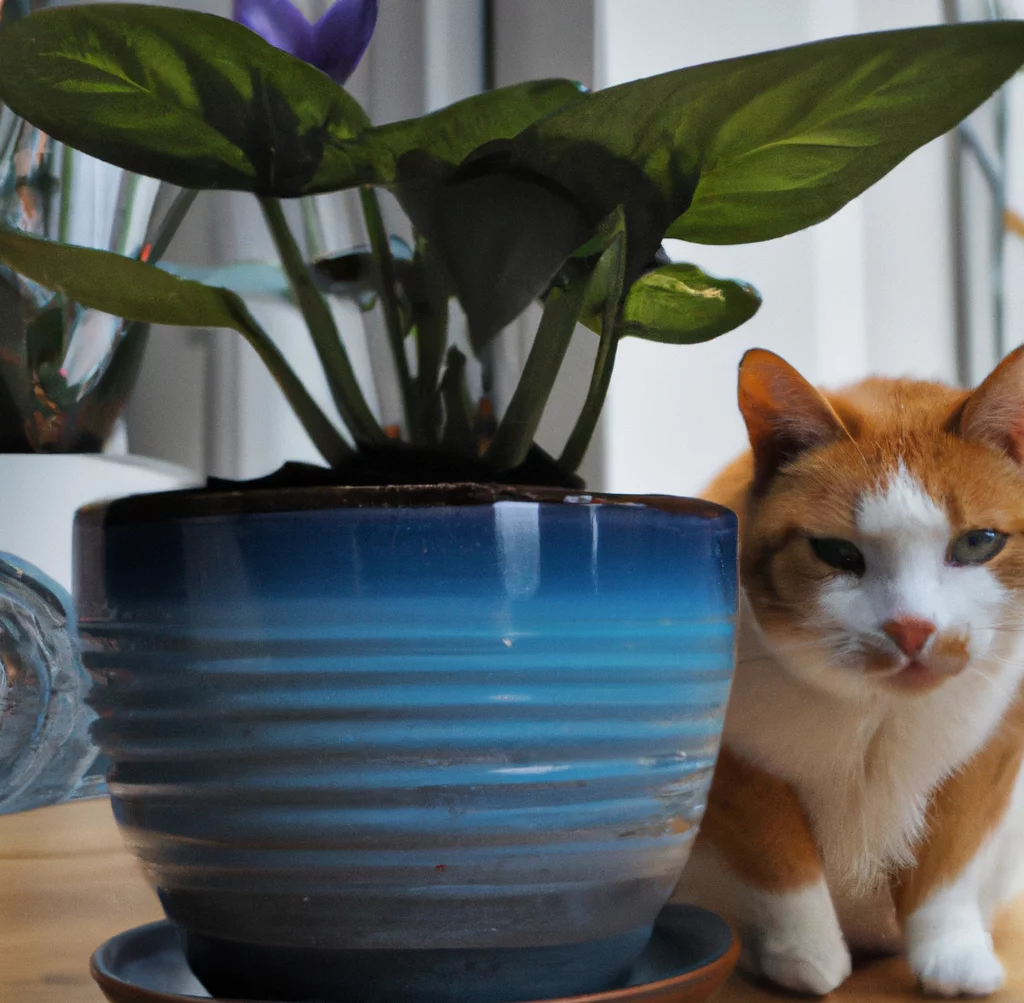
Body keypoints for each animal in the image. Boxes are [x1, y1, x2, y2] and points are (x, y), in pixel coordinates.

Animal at [675, 344, 1024, 995]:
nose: (912, 628)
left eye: (977, 543)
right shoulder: (734, 765)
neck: (876, 715)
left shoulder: (992, 749)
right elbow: (780, 858)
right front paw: (807, 958)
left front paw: (953, 957)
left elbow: (949, 865)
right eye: (837, 553)